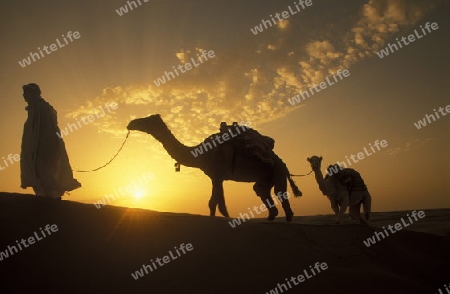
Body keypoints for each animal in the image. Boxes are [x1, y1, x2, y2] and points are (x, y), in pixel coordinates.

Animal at [126, 114, 302, 220]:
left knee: (280, 193)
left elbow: (213, 202)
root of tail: (282, 163)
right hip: (265, 178)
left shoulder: (216, 175)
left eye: (148, 120)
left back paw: (287, 219)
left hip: (278, 172)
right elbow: (219, 203)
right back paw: (271, 217)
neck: (201, 153)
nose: (130, 123)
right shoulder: (217, 177)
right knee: (261, 190)